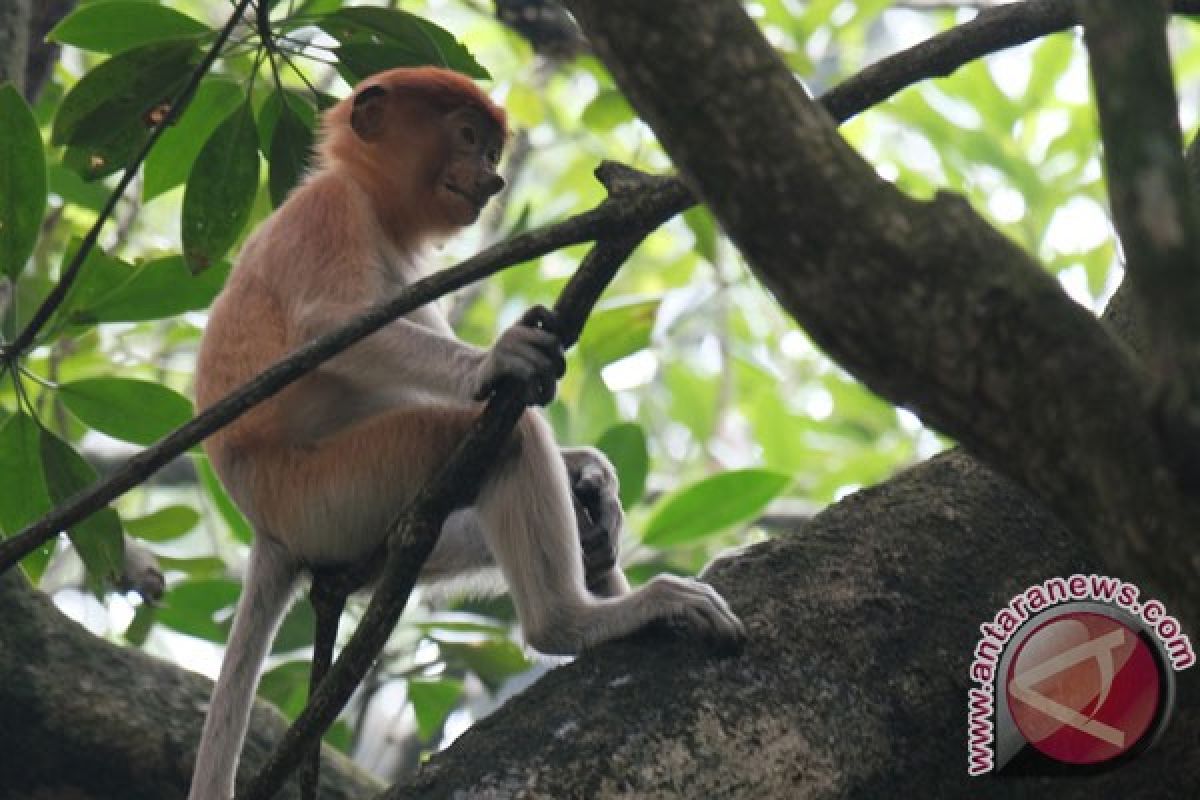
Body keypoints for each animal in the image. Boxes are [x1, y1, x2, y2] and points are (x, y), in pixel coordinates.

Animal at [189, 68, 739, 800]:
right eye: (468, 137)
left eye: (489, 149)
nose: (492, 178)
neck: (371, 200)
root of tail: (265, 526)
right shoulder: (329, 212)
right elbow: (328, 326)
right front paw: (499, 360)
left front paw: (590, 472)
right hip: (333, 487)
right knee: (504, 439)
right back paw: (574, 620)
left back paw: (595, 539)